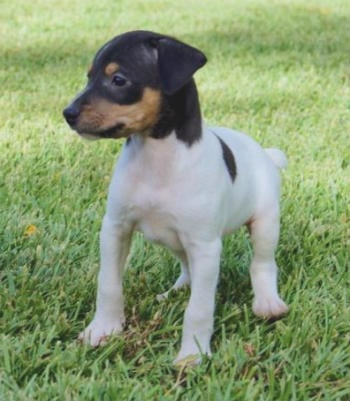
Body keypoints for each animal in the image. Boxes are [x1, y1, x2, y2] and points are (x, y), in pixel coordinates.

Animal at [63, 29, 288, 364]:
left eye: (119, 79)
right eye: (89, 77)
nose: (68, 113)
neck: (157, 160)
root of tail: (265, 154)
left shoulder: (206, 246)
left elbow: (200, 308)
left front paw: (192, 355)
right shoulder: (115, 228)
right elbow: (108, 283)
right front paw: (103, 329)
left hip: (265, 223)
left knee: (262, 263)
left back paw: (267, 303)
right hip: (176, 240)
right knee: (186, 268)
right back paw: (175, 291)